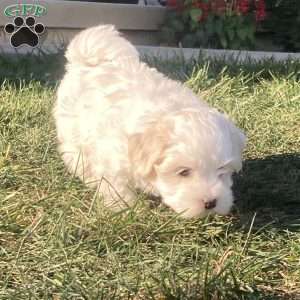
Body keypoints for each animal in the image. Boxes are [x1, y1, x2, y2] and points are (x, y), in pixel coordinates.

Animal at [54, 25, 246, 218]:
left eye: (221, 170)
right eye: (183, 172)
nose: (211, 203)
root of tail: (87, 60)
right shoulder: (113, 160)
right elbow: (118, 188)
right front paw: (126, 210)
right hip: (71, 128)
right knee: (74, 154)